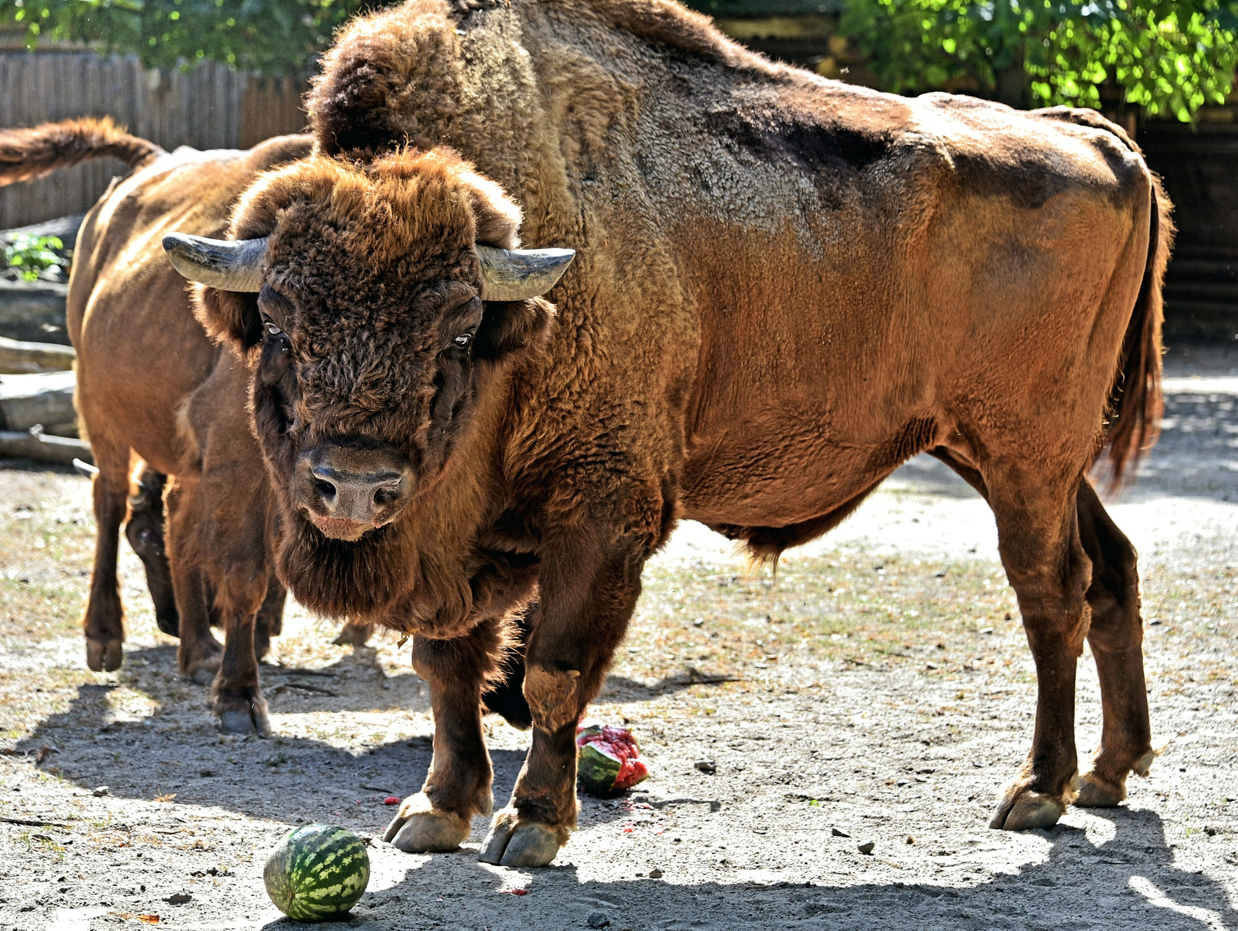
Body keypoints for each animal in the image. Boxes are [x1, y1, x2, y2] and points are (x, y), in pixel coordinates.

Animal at [167, 0, 1168, 866]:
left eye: (456, 325)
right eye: (278, 316)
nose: (354, 486)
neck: (522, 324)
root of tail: (1095, 139)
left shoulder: (600, 516)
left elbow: (553, 672)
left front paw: (531, 825)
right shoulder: (459, 548)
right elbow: (447, 668)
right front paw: (437, 812)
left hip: (1024, 458)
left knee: (1053, 594)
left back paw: (1038, 791)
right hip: (1012, 457)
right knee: (1112, 568)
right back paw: (1110, 774)